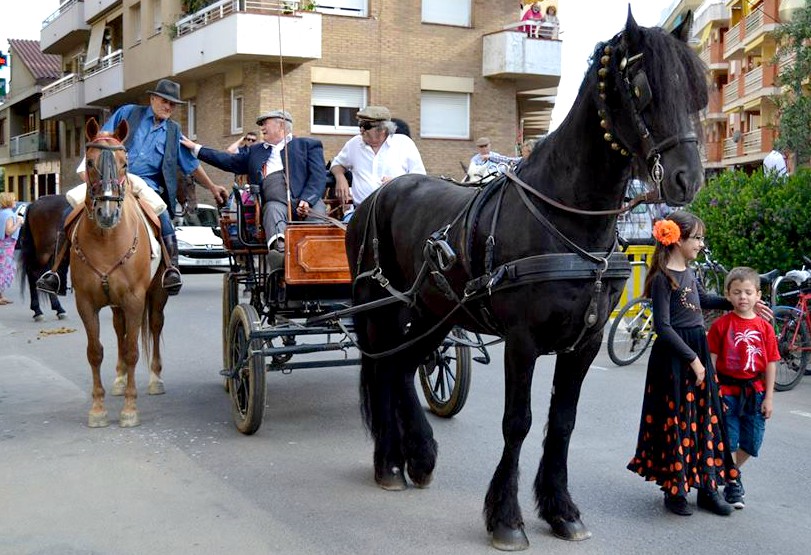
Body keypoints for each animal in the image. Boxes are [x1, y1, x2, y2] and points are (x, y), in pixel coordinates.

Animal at [73, 118, 168, 430]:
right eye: (90, 162)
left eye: (125, 163)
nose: (107, 212)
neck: (106, 239)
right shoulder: (85, 303)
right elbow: (95, 351)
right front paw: (98, 409)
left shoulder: (135, 299)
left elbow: (132, 350)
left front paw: (129, 409)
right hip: (114, 304)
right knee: (118, 329)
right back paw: (119, 377)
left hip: (157, 294)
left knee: (155, 326)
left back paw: (155, 379)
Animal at [346, 9, 708, 552]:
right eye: (643, 87)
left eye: (696, 91)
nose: (689, 178)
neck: (568, 221)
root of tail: (378, 196)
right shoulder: (522, 341)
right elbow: (518, 423)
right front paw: (506, 518)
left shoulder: (584, 343)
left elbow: (562, 423)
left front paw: (561, 509)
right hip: (382, 308)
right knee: (384, 367)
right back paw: (391, 460)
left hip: (433, 313)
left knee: (402, 369)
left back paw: (418, 456)